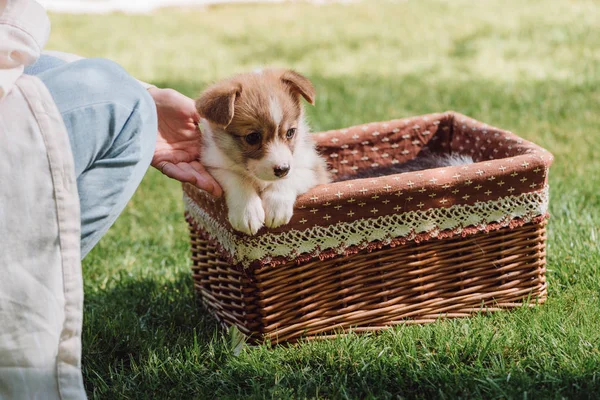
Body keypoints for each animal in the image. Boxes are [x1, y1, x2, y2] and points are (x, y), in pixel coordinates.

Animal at [196, 68, 328, 234]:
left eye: (290, 132)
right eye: (252, 137)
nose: (283, 169)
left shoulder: (313, 167)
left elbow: (292, 176)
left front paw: (277, 207)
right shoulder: (213, 166)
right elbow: (237, 178)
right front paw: (247, 213)